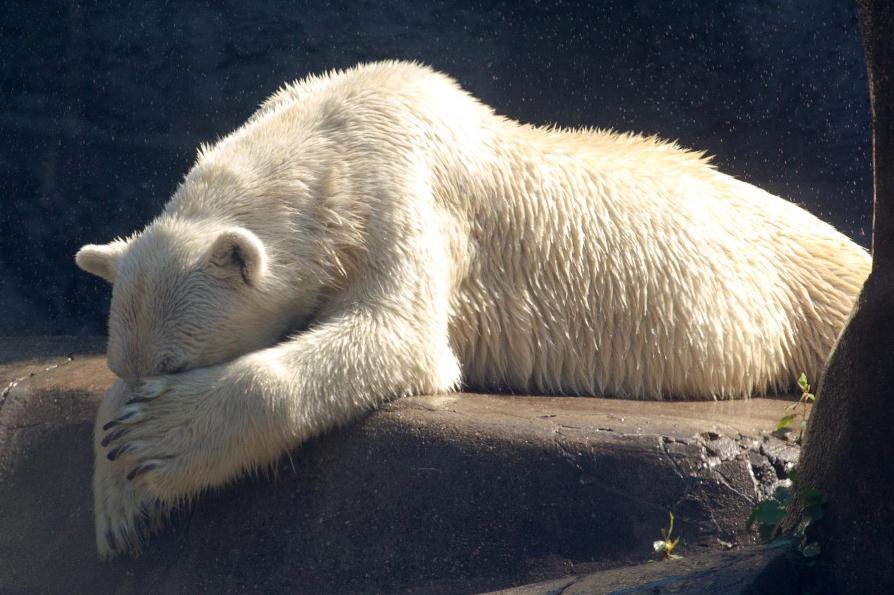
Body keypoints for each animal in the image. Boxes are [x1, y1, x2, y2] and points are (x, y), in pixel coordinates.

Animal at [79, 58, 876, 556]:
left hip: (815, 291)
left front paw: (155, 441)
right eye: (123, 363)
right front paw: (117, 500)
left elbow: (396, 337)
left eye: (174, 364)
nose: (139, 391)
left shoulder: (402, 191)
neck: (330, 127)